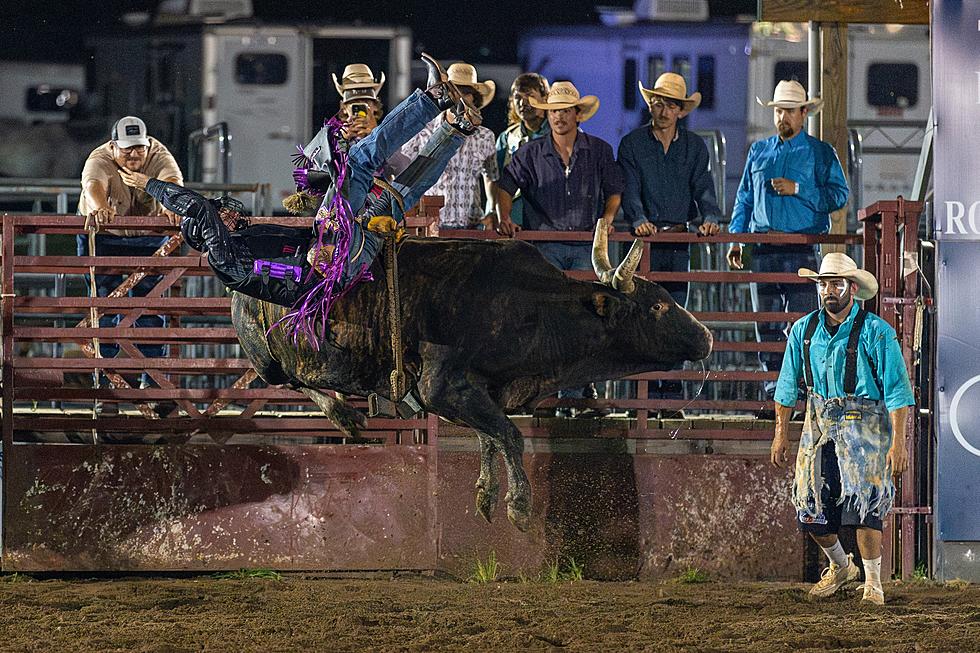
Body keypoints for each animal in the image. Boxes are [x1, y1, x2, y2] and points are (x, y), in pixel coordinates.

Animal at [235, 225, 712, 528]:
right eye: (657, 306)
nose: (706, 336)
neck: (532, 306)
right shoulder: (443, 388)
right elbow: (510, 436)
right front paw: (519, 506)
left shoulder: (482, 393)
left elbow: (490, 437)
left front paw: (485, 495)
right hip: (265, 354)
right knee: (289, 378)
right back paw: (345, 415)